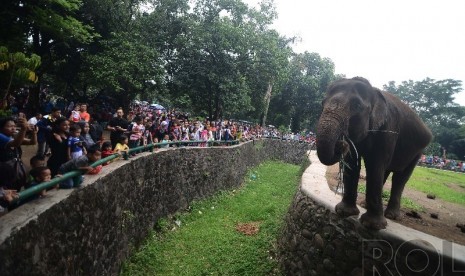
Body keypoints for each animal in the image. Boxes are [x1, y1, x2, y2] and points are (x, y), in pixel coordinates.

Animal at [316, 76, 432, 230]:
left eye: (357, 105)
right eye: (322, 103)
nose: (341, 143)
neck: (374, 93)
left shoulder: (388, 129)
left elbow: (375, 165)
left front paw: (373, 225)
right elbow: (353, 164)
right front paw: (343, 212)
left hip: (418, 152)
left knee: (400, 177)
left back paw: (392, 215)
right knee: (386, 172)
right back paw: (365, 205)